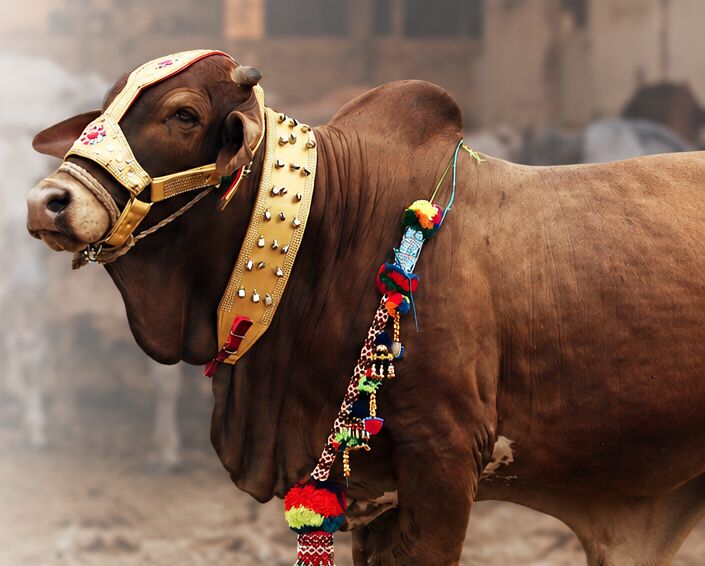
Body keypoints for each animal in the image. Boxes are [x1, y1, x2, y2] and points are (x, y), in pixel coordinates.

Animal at [25, 50, 705, 565]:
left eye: (183, 113)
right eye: (106, 106)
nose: (47, 202)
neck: (337, 228)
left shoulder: (444, 459)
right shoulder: (371, 495)